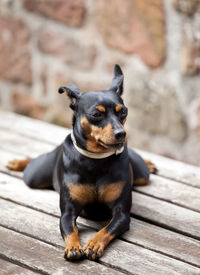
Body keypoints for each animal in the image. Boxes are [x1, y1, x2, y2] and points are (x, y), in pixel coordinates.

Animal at [7, 65, 156, 264]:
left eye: (123, 111)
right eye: (96, 114)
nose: (121, 134)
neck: (96, 160)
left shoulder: (122, 213)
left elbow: (106, 229)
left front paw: (93, 244)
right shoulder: (68, 212)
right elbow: (70, 229)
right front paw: (73, 247)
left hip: (142, 175)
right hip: (34, 175)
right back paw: (18, 162)